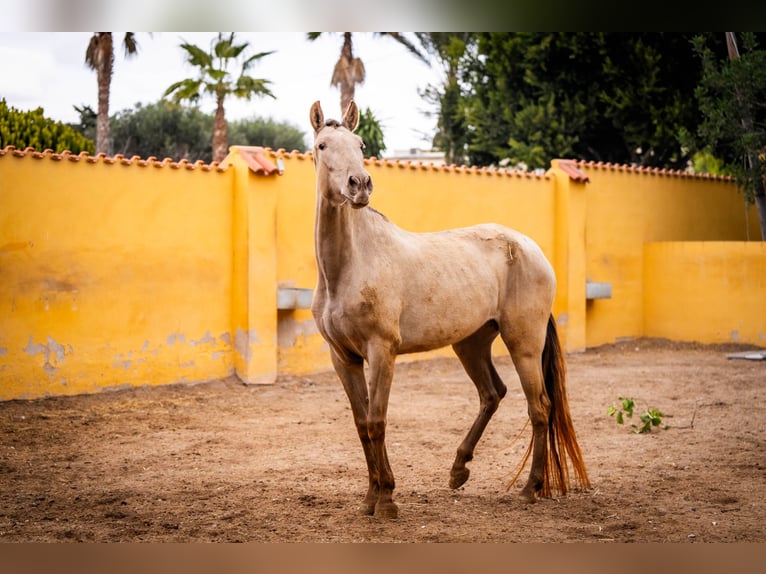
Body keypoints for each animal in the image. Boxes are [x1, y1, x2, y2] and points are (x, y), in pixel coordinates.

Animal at [309, 100, 590, 519]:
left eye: (360, 144)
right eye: (323, 145)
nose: (360, 185)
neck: (350, 265)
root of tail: (530, 248)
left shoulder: (382, 351)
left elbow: (377, 421)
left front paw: (387, 500)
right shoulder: (343, 358)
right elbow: (361, 425)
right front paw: (370, 499)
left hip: (523, 343)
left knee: (539, 407)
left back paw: (529, 489)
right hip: (470, 343)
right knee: (492, 393)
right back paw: (459, 470)